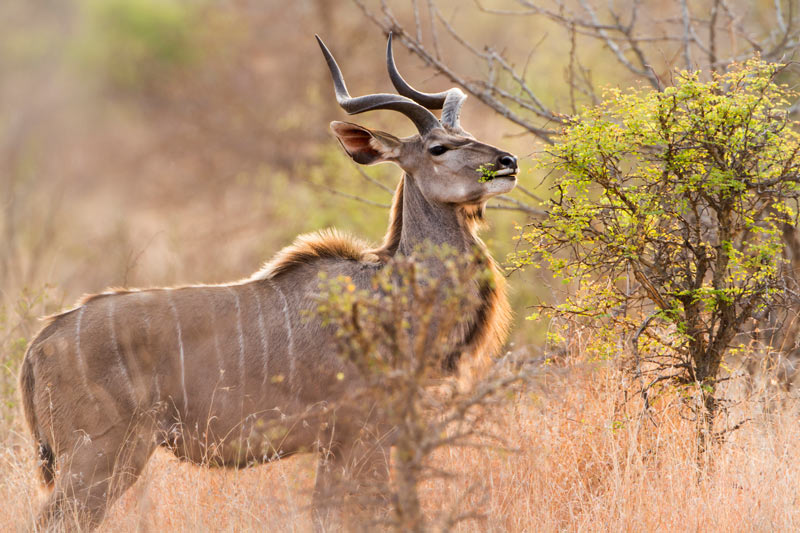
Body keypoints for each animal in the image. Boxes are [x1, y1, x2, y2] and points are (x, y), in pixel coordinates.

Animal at [20, 35, 520, 528]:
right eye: (439, 149)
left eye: (465, 136)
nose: (508, 161)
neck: (394, 290)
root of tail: (41, 343)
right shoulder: (368, 433)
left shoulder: (338, 444)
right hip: (100, 456)